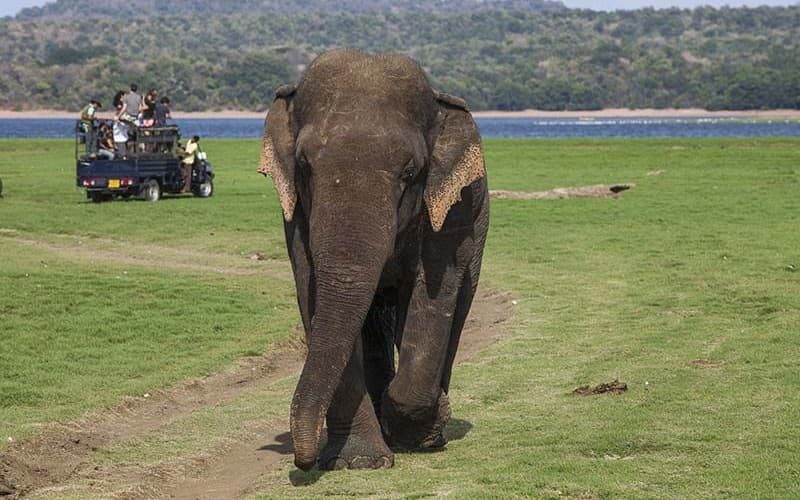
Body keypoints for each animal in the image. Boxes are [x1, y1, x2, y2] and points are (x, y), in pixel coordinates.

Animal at [260, 48, 490, 470]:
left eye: (410, 171)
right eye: (304, 166)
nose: (303, 461)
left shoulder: (452, 214)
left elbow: (432, 296)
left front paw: (424, 429)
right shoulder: (294, 216)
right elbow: (312, 292)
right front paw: (362, 461)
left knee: (455, 310)